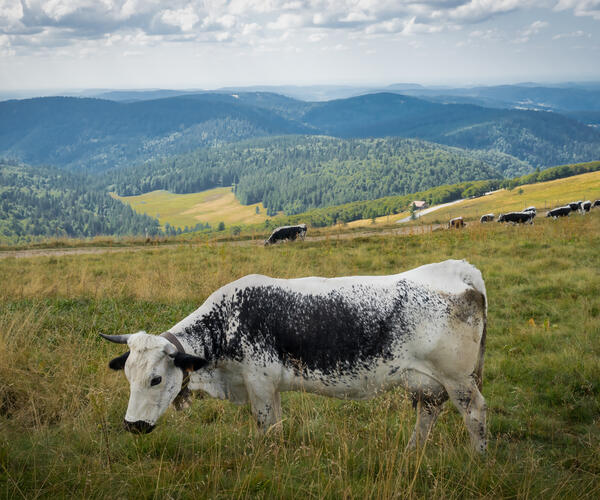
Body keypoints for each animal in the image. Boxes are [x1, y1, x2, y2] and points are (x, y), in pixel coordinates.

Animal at [101, 262, 490, 454]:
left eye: (155, 379)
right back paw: (411, 452)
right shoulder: (269, 386)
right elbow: (276, 424)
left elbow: (264, 425)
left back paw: (478, 459)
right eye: (128, 377)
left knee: (475, 413)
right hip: (428, 381)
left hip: (458, 379)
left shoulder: (257, 383)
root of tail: (459, 270)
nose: (132, 425)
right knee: (428, 412)